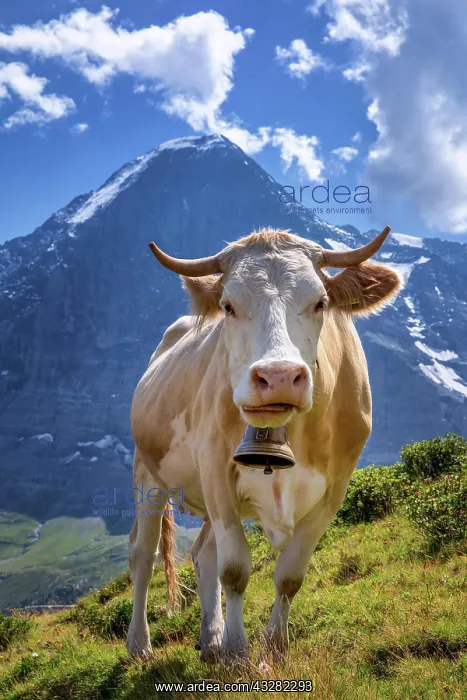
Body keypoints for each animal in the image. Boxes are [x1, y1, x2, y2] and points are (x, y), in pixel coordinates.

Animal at [126, 226, 401, 662]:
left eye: (320, 302)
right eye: (228, 306)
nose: (279, 376)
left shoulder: (335, 489)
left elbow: (289, 575)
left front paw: (272, 649)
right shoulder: (216, 469)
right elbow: (236, 568)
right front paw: (238, 652)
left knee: (203, 552)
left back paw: (211, 640)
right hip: (147, 472)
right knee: (144, 555)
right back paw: (140, 645)